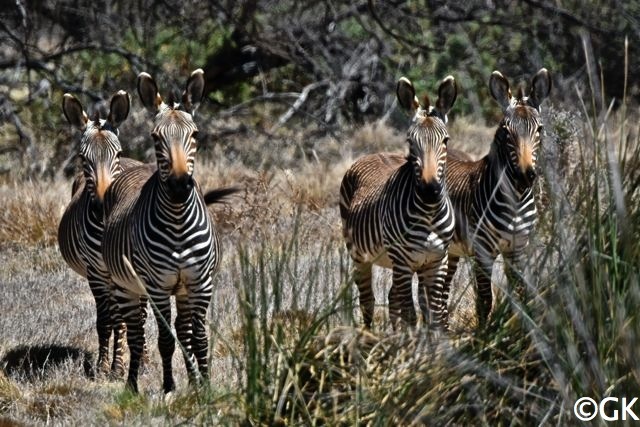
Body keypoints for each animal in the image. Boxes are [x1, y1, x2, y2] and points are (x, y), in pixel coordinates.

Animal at [57, 91, 142, 378]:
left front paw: (119, 366)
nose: (105, 204)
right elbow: (106, 320)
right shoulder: (95, 272)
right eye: (83, 158)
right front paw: (104, 367)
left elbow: (124, 320)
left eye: (117, 153)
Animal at [103, 70, 238, 394]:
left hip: (183, 290)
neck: (177, 222)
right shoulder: (157, 287)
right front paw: (168, 387)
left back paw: (192, 379)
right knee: (136, 335)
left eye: (196, 135)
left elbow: (198, 338)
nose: (178, 187)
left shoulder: (201, 283)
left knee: (183, 331)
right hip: (125, 287)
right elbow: (165, 341)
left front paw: (204, 387)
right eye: (155, 137)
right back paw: (132, 386)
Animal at [342, 76, 458, 332]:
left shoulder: (437, 262)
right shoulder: (403, 262)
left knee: (392, 298)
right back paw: (369, 336)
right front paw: (412, 342)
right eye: (410, 141)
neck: (429, 214)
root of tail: (374, 153)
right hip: (360, 256)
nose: (429, 191)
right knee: (368, 301)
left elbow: (436, 315)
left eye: (445, 140)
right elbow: (411, 316)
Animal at [444, 68, 552, 328]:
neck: (516, 201)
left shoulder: (518, 250)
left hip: (452, 250)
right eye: (506, 131)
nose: (524, 176)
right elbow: (485, 300)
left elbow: (521, 294)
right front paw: (484, 335)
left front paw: (522, 329)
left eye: (540, 129)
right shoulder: (483, 251)